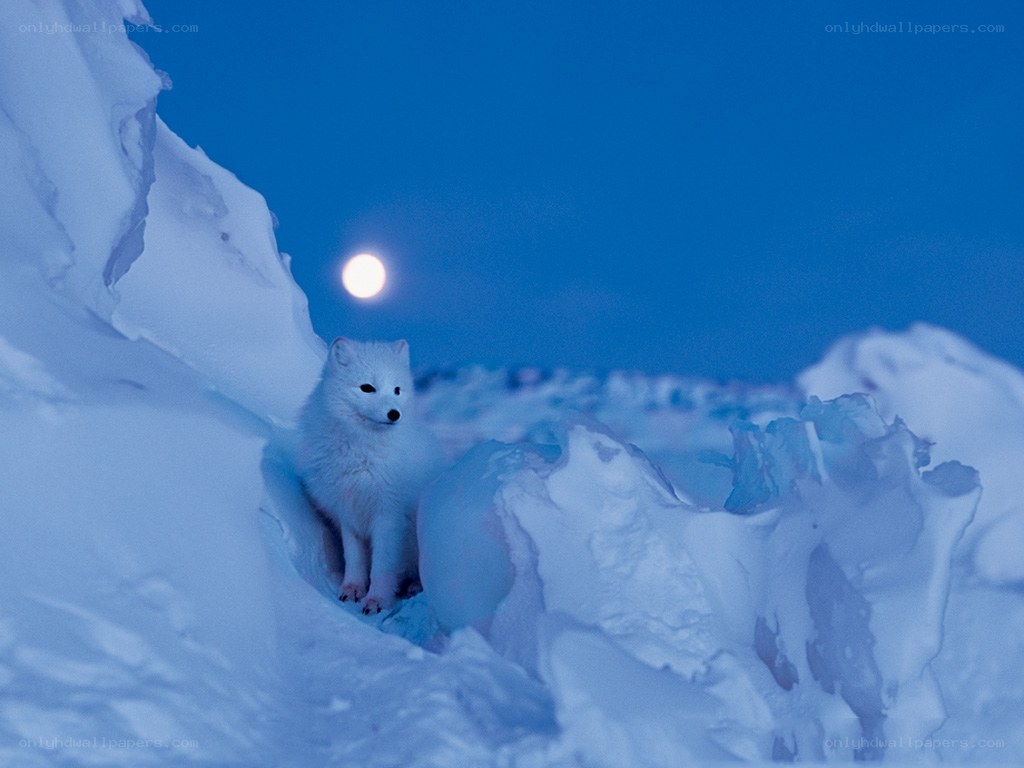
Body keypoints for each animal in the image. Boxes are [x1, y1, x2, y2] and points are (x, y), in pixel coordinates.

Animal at [297, 337, 442, 615]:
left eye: (397, 390)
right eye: (367, 388)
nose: (394, 414)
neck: (361, 453)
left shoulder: (389, 515)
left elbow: (382, 566)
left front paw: (376, 600)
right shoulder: (347, 511)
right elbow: (354, 558)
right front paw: (351, 589)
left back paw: (413, 586)